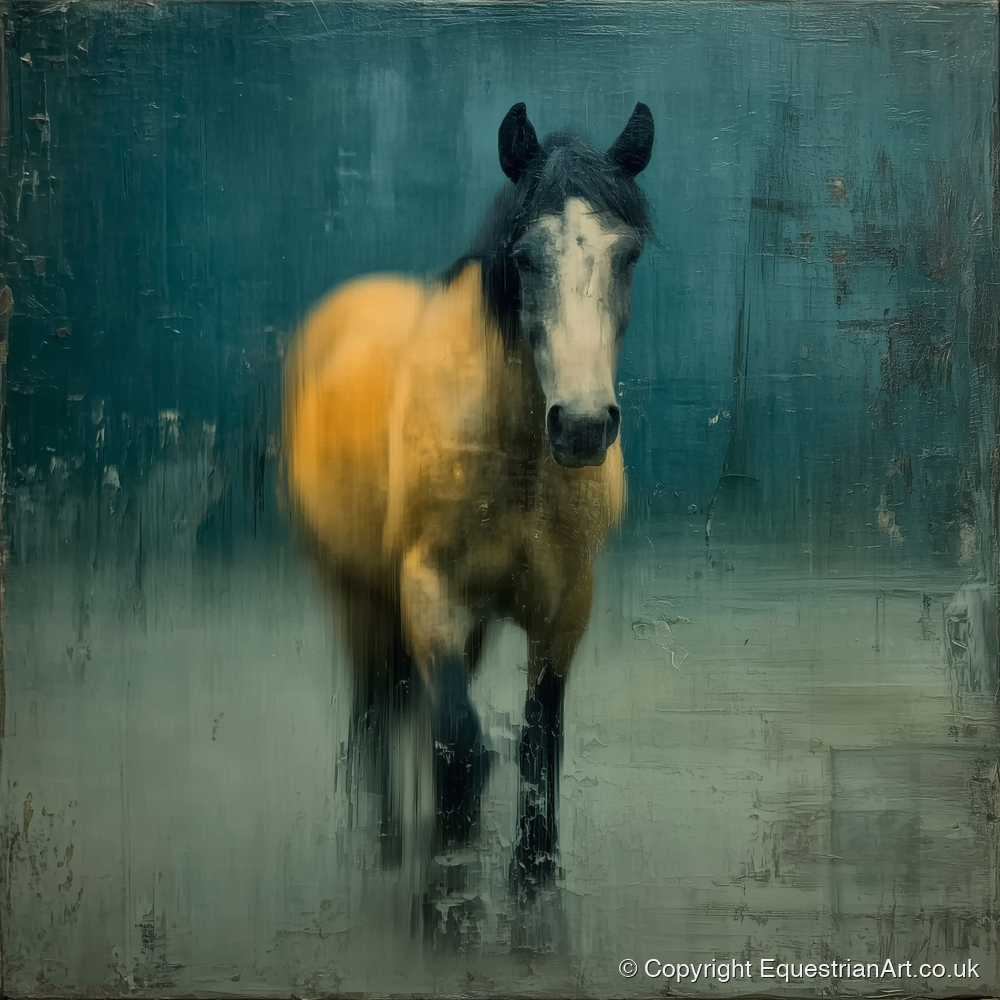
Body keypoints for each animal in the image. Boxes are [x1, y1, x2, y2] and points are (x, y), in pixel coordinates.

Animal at [283, 101, 654, 899]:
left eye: (628, 255)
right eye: (526, 257)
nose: (582, 427)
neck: (514, 461)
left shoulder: (565, 605)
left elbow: (537, 741)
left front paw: (532, 868)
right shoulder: (429, 589)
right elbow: (458, 741)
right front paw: (449, 871)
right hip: (355, 592)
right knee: (375, 709)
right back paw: (386, 842)